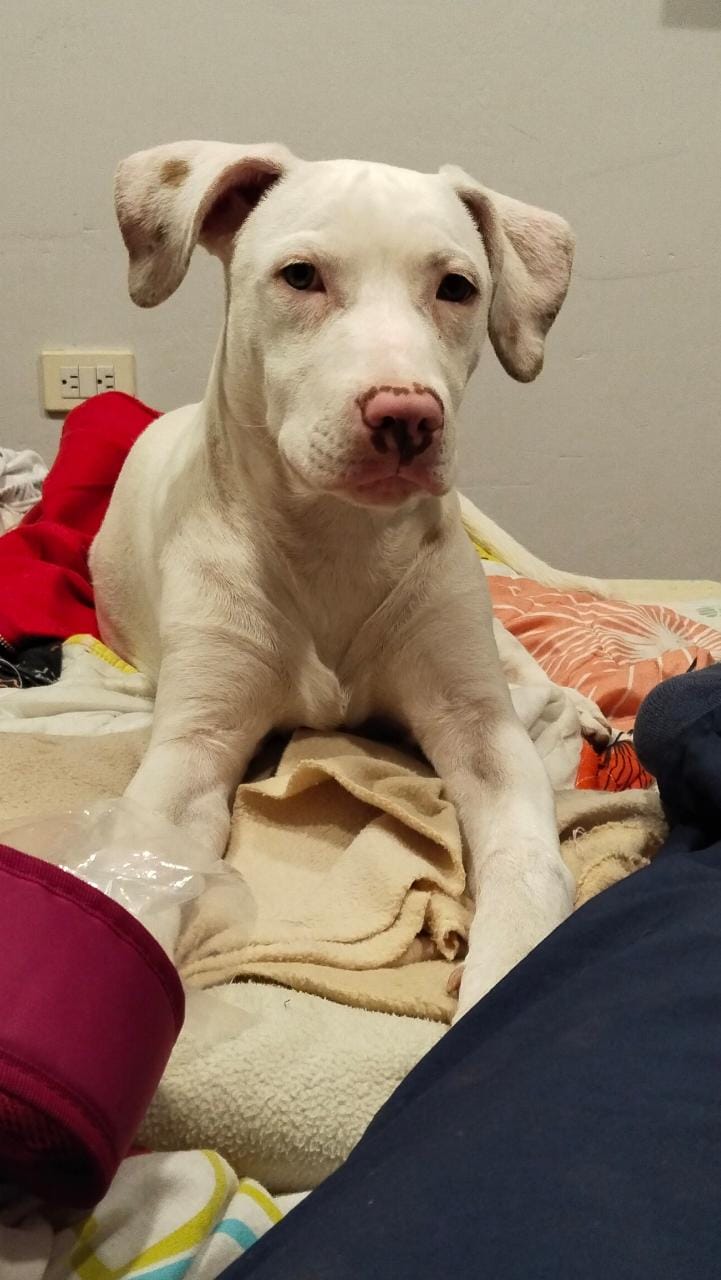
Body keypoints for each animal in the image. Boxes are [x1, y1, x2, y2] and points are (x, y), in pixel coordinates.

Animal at [91, 141, 608, 1018]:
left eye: (457, 286)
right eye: (300, 276)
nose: (407, 417)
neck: (335, 540)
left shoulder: (480, 732)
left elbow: (528, 857)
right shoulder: (193, 749)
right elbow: (142, 876)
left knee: (529, 671)